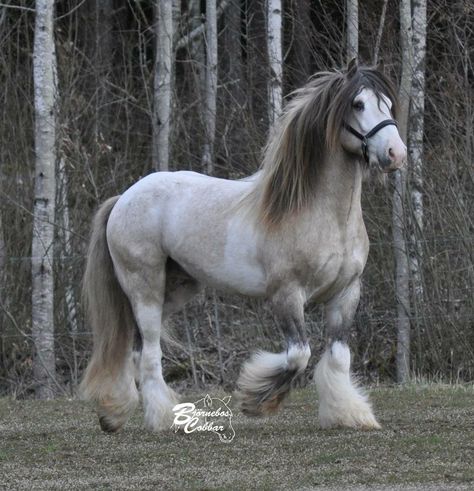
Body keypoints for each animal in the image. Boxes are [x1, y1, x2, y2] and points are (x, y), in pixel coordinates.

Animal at [79, 61, 406, 434]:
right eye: (358, 104)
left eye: (388, 104)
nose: (396, 154)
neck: (323, 215)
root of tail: (124, 197)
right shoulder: (286, 295)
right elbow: (299, 355)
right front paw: (255, 400)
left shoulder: (345, 293)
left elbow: (338, 357)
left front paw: (348, 414)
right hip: (144, 288)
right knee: (148, 353)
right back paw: (164, 418)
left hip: (174, 290)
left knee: (135, 349)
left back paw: (116, 414)